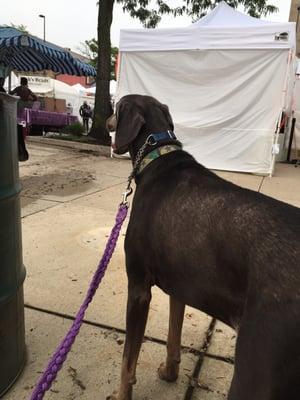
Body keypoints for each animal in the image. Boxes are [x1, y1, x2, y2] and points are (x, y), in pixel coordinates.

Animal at [106, 94, 298, 400]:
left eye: (115, 107)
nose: (105, 121)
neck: (157, 155)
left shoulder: (138, 287)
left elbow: (128, 361)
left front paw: (122, 394)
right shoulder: (180, 285)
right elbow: (173, 336)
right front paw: (169, 372)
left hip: (255, 369)